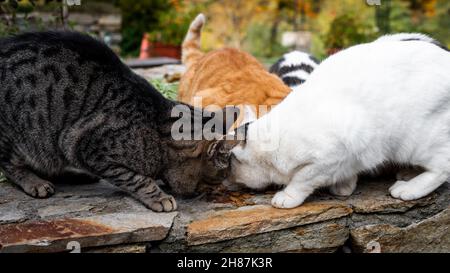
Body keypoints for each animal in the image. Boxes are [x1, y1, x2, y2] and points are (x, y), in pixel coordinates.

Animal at [0, 31, 237, 210]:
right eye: (220, 175)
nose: (221, 188)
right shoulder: (85, 146)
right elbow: (136, 178)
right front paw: (159, 196)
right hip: (19, 137)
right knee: (10, 166)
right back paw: (35, 182)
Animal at [229, 33, 450, 208]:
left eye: (231, 161)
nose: (230, 176)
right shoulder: (349, 156)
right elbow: (348, 172)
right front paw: (344, 187)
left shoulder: (326, 159)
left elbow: (301, 180)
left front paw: (287, 198)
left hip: (415, 142)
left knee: (442, 168)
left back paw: (408, 189)